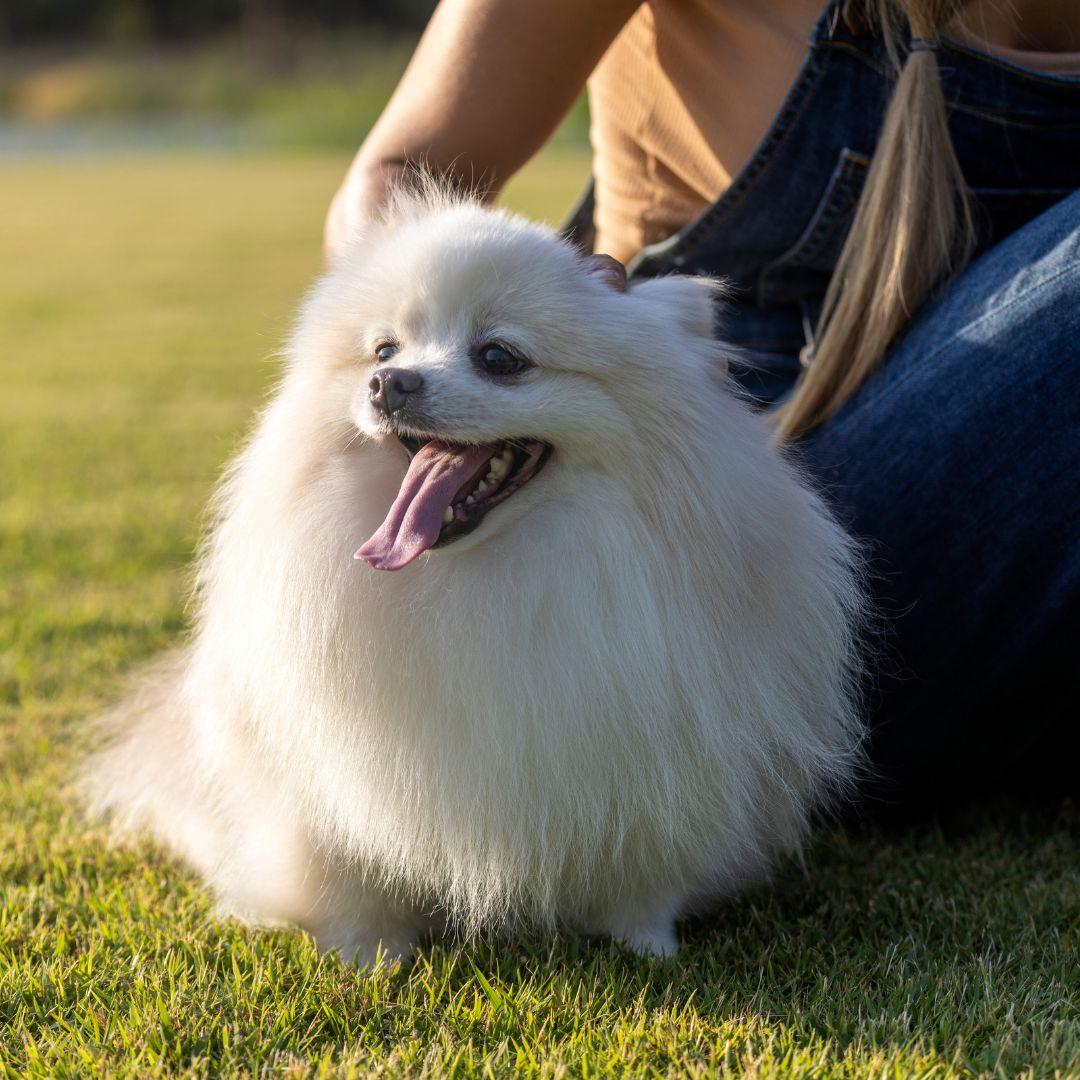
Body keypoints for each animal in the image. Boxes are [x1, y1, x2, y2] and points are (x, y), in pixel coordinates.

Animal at [84, 183, 864, 963]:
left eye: (498, 356)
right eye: (384, 348)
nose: (389, 382)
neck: (478, 579)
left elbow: (645, 879)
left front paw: (647, 944)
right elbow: (347, 876)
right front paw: (368, 954)